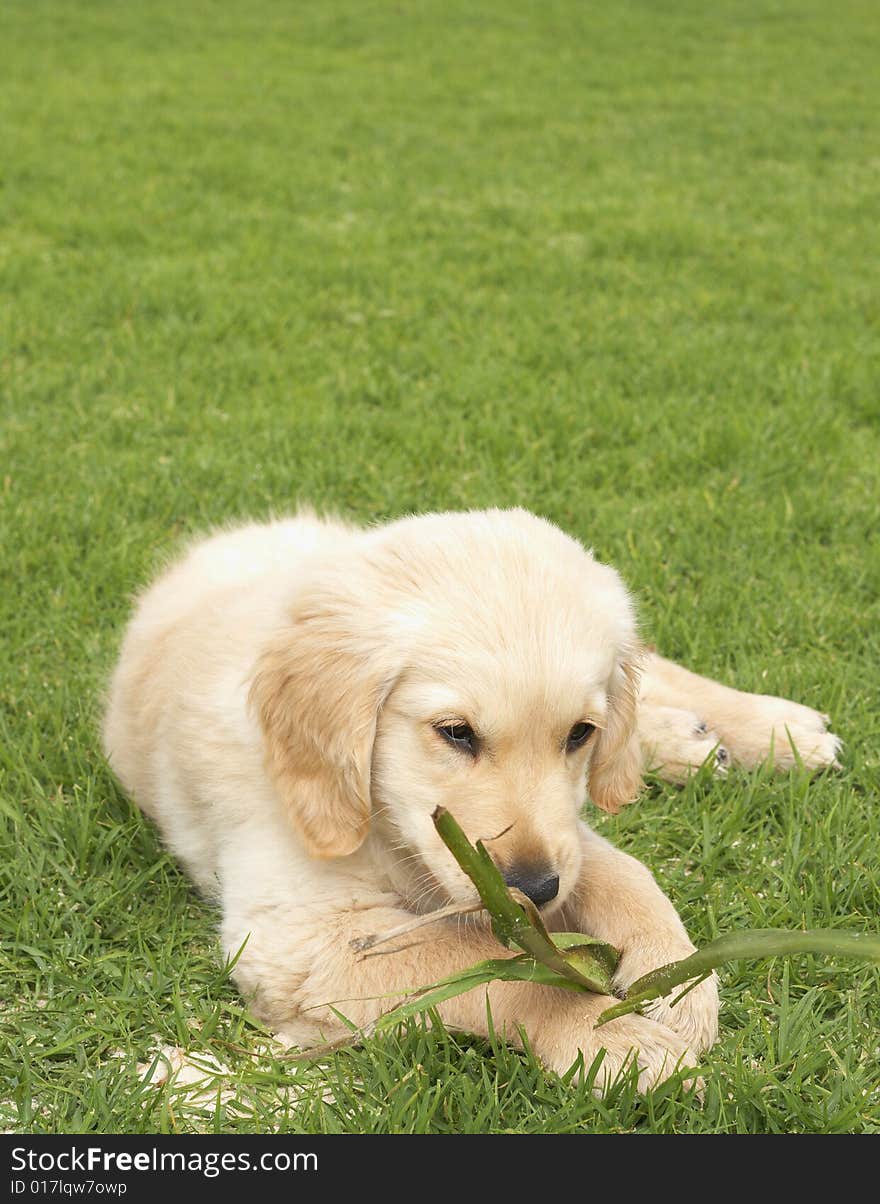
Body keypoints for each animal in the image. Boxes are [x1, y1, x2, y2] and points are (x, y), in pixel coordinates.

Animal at [103, 508, 837, 1093]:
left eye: (579, 734)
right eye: (455, 732)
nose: (534, 889)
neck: (385, 828)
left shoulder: (563, 828)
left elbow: (624, 872)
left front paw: (675, 977)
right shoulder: (302, 938)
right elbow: (490, 967)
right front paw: (608, 1036)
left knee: (653, 669)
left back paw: (775, 730)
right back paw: (695, 741)